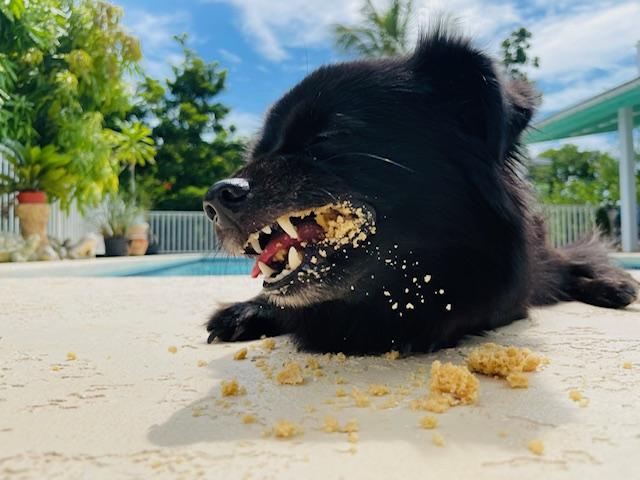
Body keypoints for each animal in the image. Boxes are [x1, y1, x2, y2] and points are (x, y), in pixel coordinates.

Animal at [202, 26, 636, 356]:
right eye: (256, 153)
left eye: (326, 137)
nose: (214, 199)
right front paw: (249, 310)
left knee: (567, 264)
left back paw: (613, 284)